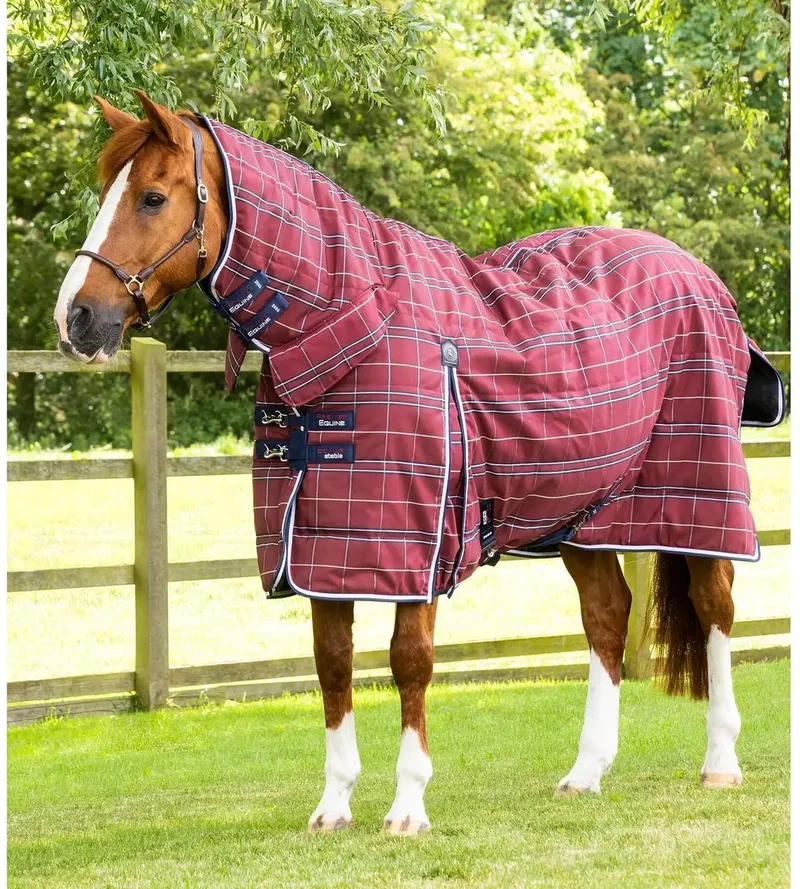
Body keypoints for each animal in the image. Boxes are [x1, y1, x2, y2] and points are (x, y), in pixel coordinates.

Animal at [54, 91, 781, 836]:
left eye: (151, 197)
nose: (74, 318)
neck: (354, 327)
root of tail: (699, 274)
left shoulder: (417, 544)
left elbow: (409, 663)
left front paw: (407, 806)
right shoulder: (322, 547)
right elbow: (333, 664)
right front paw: (333, 805)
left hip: (701, 495)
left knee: (715, 607)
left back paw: (720, 762)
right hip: (585, 515)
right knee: (607, 617)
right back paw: (585, 772)